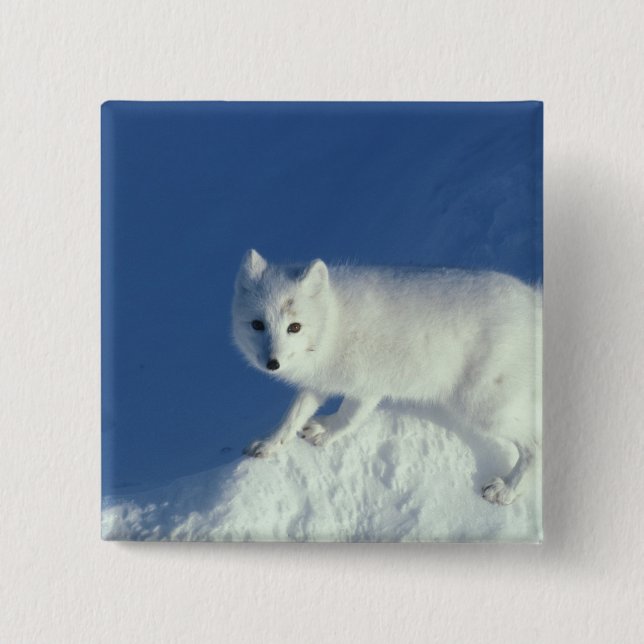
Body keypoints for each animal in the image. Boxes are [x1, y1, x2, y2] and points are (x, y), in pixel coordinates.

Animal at [232, 249, 542, 505]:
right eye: (257, 324)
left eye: (294, 327)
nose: (272, 363)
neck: (333, 323)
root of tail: (533, 302)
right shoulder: (320, 381)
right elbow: (292, 416)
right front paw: (269, 444)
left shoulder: (367, 385)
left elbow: (349, 417)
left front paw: (326, 433)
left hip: (483, 405)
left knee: (534, 445)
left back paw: (507, 489)